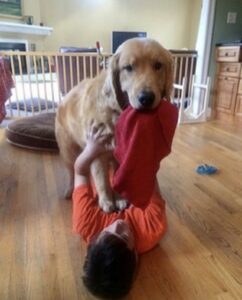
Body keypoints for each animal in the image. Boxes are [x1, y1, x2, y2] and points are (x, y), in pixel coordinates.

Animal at [55, 37, 172, 212]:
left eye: (158, 65)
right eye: (128, 68)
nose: (146, 98)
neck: (117, 112)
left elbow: (117, 176)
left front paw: (120, 198)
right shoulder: (97, 151)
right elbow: (101, 179)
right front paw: (106, 200)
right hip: (68, 150)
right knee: (71, 170)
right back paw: (70, 189)